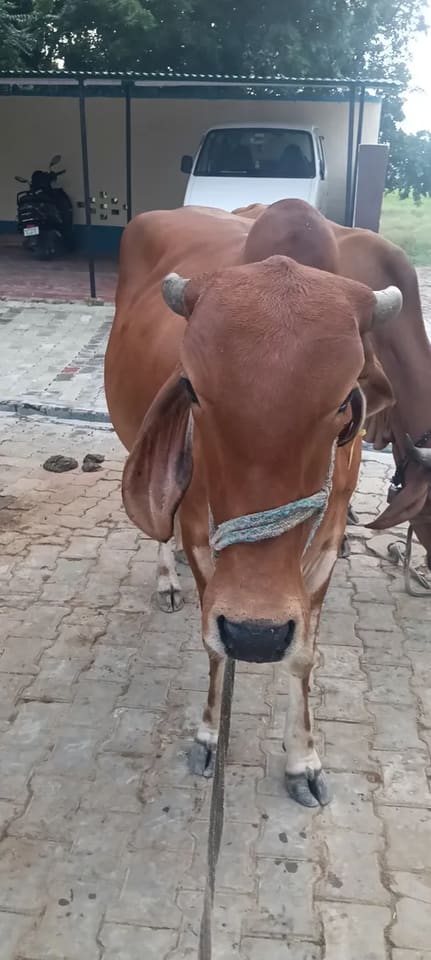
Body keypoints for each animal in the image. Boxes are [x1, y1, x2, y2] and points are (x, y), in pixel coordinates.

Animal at [105, 204, 401, 807]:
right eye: (192, 389)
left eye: (345, 402)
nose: (256, 636)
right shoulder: (201, 534)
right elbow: (214, 644)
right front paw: (208, 735)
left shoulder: (329, 541)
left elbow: (303, 652)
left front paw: (303, 761)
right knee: (160, 530)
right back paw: (165, 579)